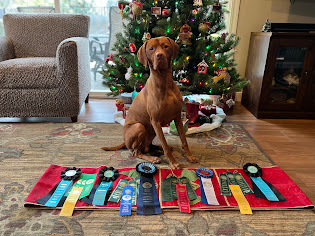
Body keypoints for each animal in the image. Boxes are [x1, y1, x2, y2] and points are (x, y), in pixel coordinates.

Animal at [102, 36, 198, 170]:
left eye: (165, 46)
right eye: (151, 48)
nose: (159, 55)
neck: (164, 81)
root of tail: (124, 141)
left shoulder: (177, 118)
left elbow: (184, 140)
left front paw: (189, 156)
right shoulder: (156, 121)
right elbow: (164, 142)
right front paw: (173, 163)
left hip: (151, 131)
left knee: (148, 147)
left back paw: (158, 149)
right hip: (139, 127)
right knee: (136, 152)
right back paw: (153, 158)